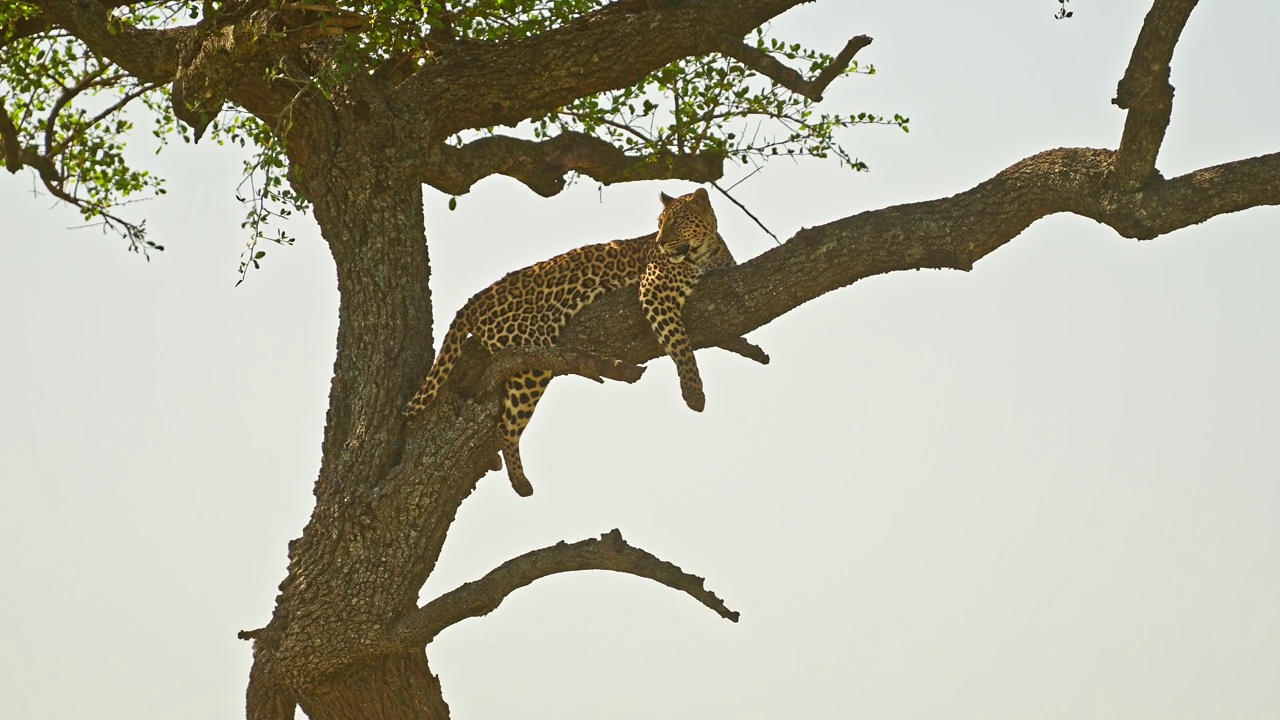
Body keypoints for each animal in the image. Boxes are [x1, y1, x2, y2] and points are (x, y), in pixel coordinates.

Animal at [399, 188, 742, 497]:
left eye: (679, 220)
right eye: (660, 223)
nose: (659, 241)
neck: (705, 251)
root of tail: (476, 299)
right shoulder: (654, 291)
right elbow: (680, 344)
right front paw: (693, 393)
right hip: (532, 360)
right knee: (506, 426)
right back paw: (521, 483)